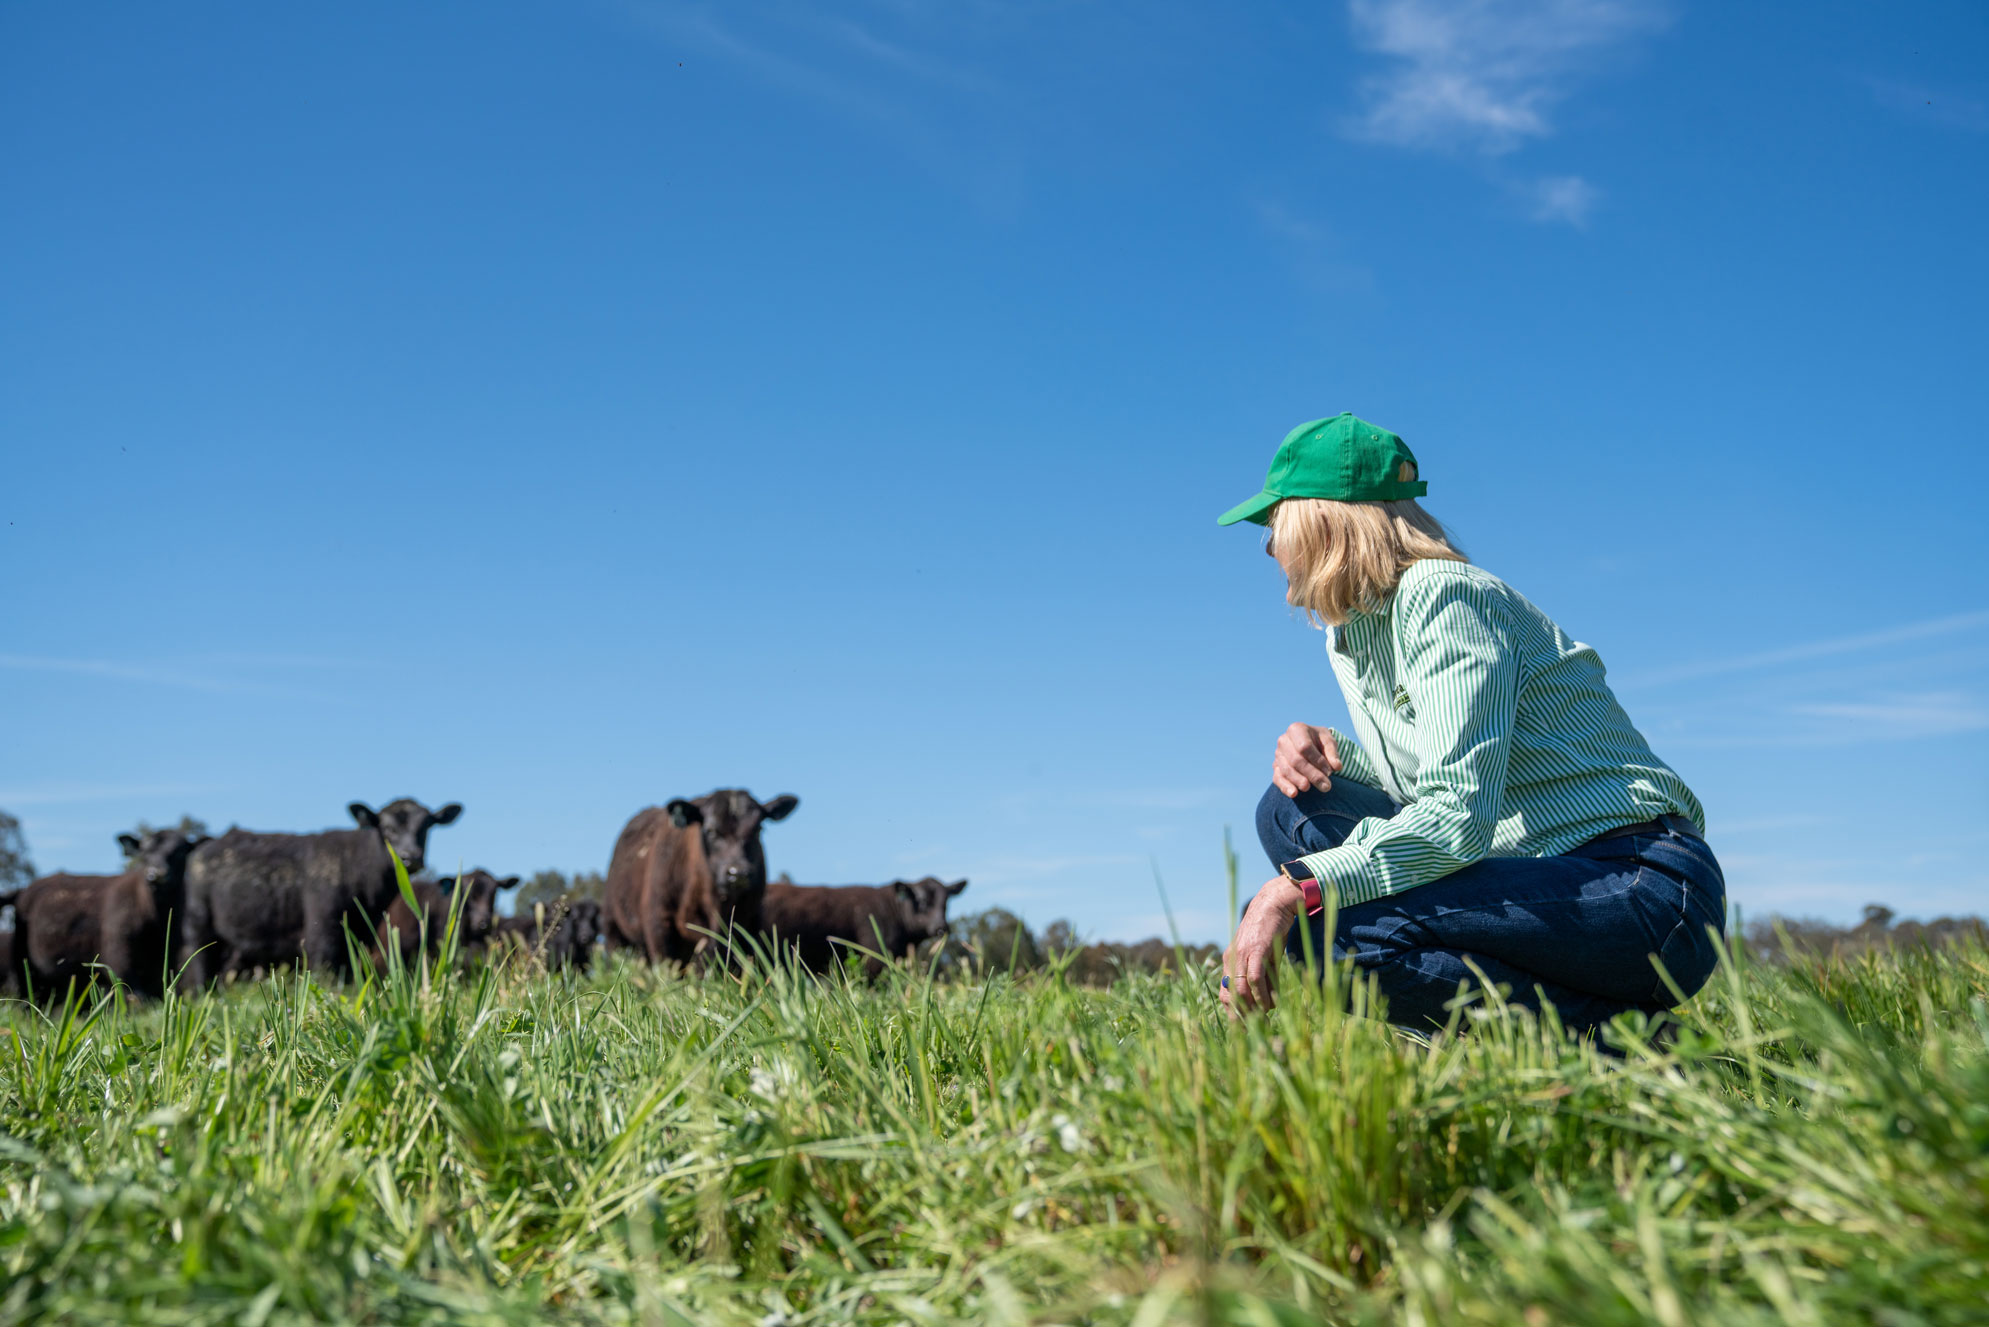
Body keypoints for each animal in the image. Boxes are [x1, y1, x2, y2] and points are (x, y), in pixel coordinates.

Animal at [178, 799, 457, 986]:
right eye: (387, 829)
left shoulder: (361, 932)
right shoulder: (322, 931)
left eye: (426, 827)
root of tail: (206, 845)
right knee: (200, 964)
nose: (410, 857)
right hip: (200, 925)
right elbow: (327, 976)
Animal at [600, 787, 795, 966]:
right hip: (613, 926)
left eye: (759, 829)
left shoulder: (750, 922)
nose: (738, 873)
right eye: (711, 831)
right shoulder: (659, 922)